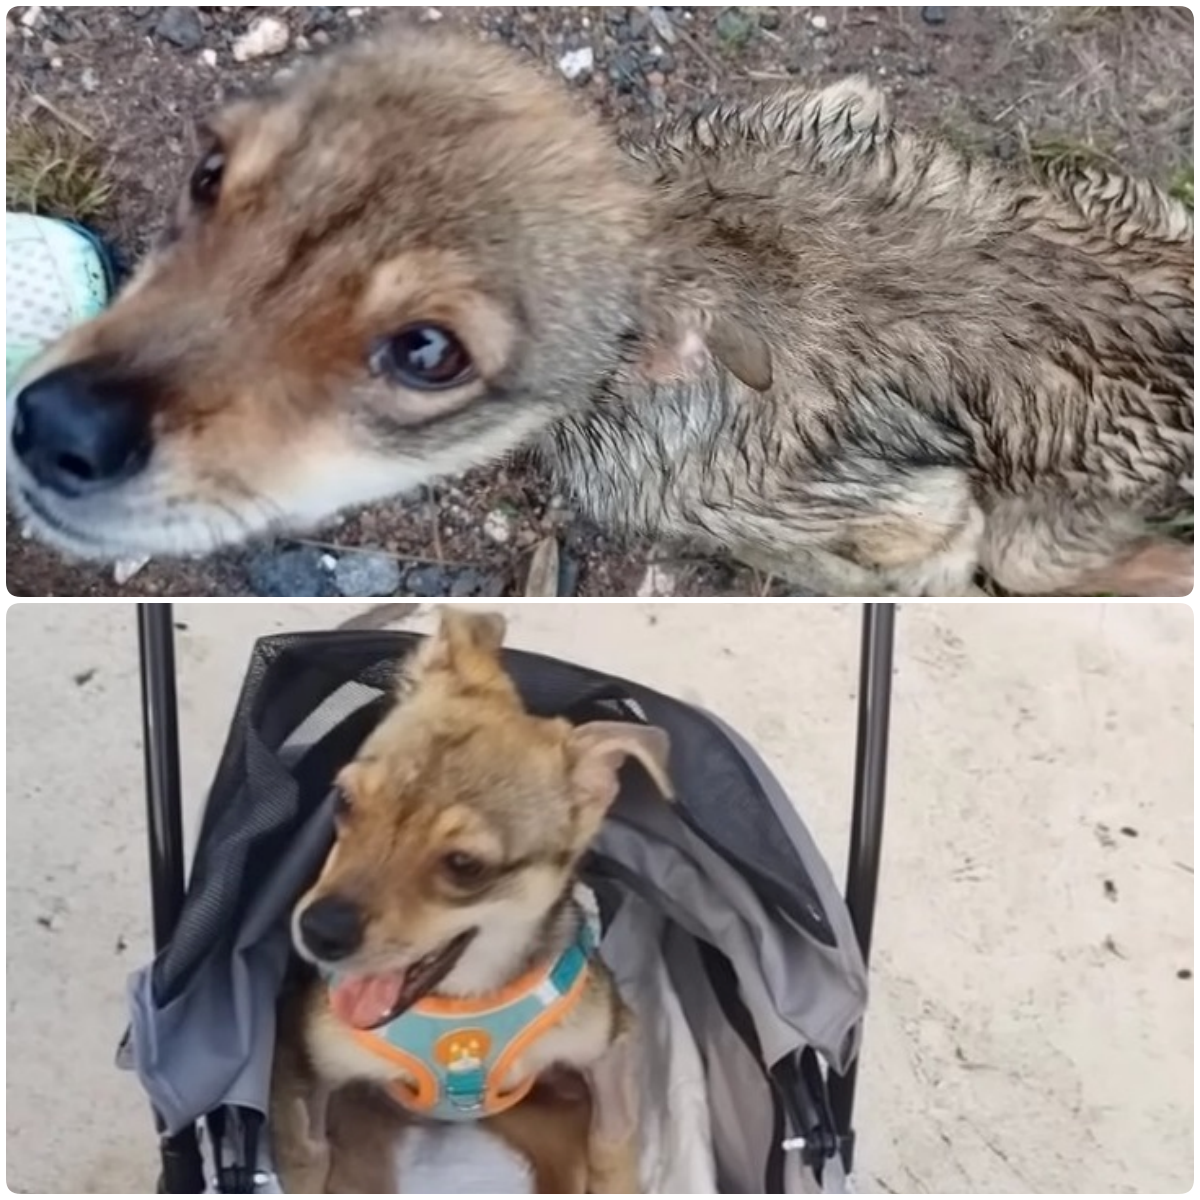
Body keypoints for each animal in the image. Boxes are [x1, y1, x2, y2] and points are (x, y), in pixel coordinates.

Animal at [9, 25, 1190, 592]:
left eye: (428, 352)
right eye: (210, 175)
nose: (61, 426)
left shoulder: (887, 513)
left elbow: (929, 551)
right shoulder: (814, 113)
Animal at [270, 614, 676, 1195]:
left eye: (465, 865)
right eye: (345, 802)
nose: (320, 929)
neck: (464, 1004)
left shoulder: (610, 1047)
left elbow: (612, 1139)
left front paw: (616, 1180)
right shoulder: (304, 1074)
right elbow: (305, 1159)